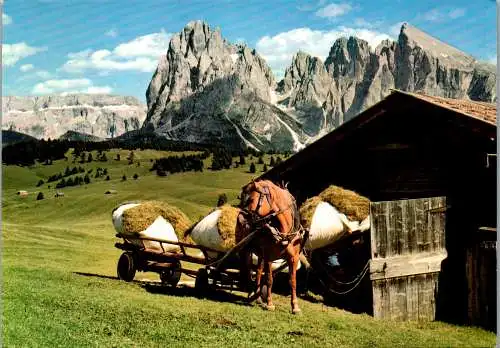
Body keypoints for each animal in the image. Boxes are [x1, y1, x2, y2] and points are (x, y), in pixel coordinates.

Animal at [237, 178, 306, 314]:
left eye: (251, 199)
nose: (240, 220)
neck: (284, 233)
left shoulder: (293, 258)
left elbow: (293, 281)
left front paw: (295, 306)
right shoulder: (269, 257)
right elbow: (269, 280)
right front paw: (269, 303)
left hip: (260, 254)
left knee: (258, 271)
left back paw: (258, 297)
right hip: (249, 251)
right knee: (249, 270)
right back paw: (251, 294)